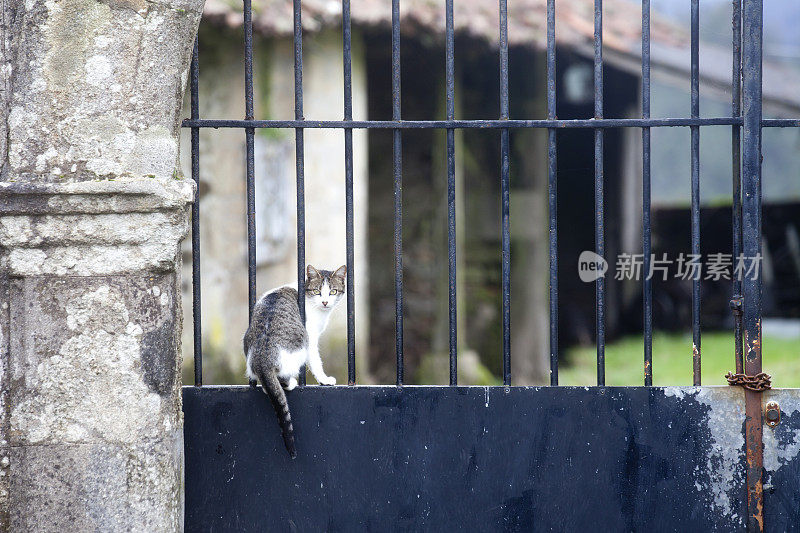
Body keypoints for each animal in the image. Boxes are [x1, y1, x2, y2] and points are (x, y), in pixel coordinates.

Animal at [242, 264, 346, 456]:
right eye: (317, 291)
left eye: (333, 291)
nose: (325, 302)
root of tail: (263, 358)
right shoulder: (311, 337)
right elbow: (316, 362)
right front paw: (324, 380)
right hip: (300, 347)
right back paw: (290, 383)